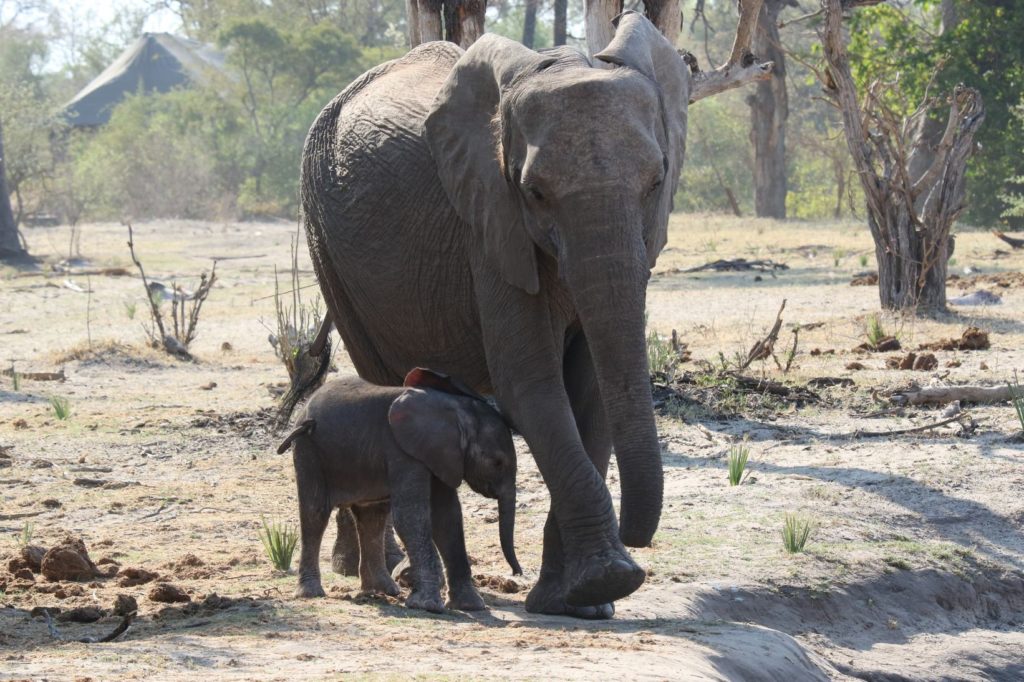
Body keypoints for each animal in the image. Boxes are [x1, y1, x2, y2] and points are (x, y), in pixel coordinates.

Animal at [276, 366, 520, 610]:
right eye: (498, 462)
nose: (516, 573)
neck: (453, 408)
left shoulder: (440, 455)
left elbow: (447, 518)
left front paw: (470, 606)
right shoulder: (403, 450)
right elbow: (412, 517)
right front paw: (427, 606)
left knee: (372, 517)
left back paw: (382, 590)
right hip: (309, 450)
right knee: (315, 514)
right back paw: (312, 593)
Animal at [303, 10, 688, 614]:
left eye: (656, 181)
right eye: (535, 193)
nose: (636, 535)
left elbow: (592, 390)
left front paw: (577, 600)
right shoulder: (489, 226)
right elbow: (531, 384)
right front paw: (604, 582)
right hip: (325, 238)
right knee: (373, 378)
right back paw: (380, 570)